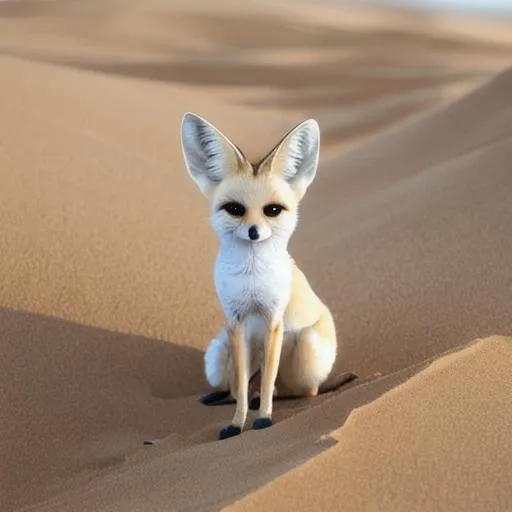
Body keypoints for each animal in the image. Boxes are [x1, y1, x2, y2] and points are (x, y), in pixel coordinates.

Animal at [179, 112, 344, 440]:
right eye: (234, 209)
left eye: (273, 210)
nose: (253, 232)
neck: (250, 280)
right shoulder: (235, 323)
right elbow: (242, 386)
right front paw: (236, 423)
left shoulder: (273, 321)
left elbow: (267, 382)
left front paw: (264, 418)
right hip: (216, 352)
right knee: (233, 385)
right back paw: (223, 397)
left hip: (307, 349)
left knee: (302, 390)